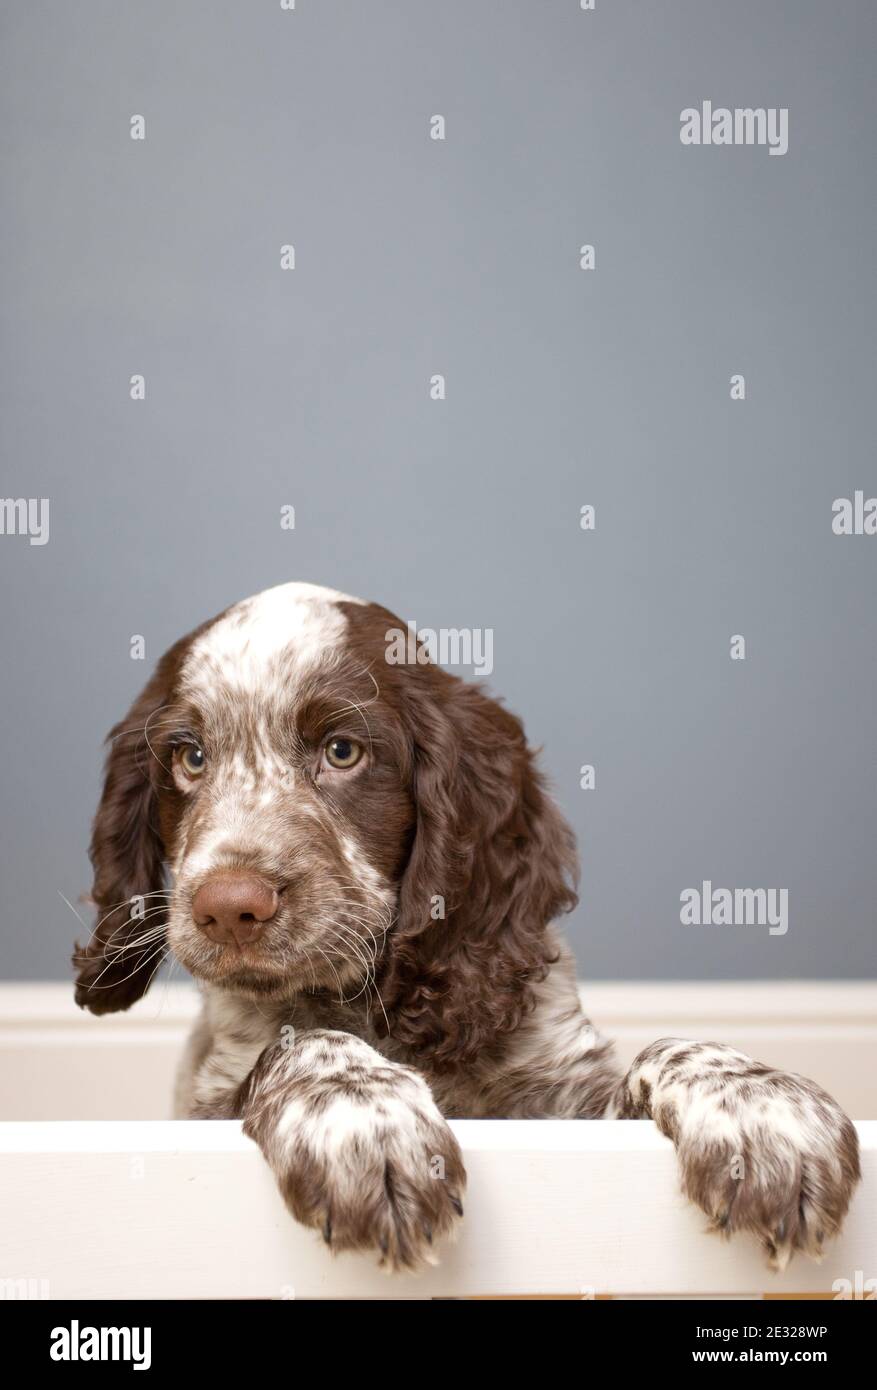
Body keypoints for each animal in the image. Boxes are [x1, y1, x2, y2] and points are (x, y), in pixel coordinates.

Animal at [71, 578, 861, 1273]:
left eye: (342, 752)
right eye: (190, 758)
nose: (228, 907)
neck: (383, 1001)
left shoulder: (567, 1105)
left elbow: (667, 1047)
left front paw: (761, 1107)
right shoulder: (209, 1100)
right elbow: (299, 1044)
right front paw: (366, 1120)